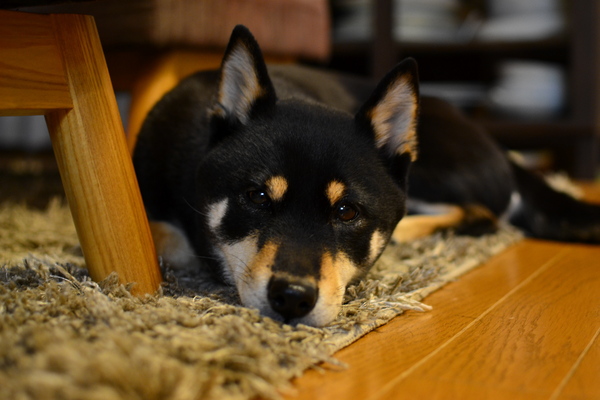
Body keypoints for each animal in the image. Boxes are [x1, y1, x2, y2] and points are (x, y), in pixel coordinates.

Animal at [134, 25, 600, 326]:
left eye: (347, 212)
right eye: (258, 197)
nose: (292, 298)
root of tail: (497, 145)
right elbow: (160, 235)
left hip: (431, 171)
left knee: (481, 214)